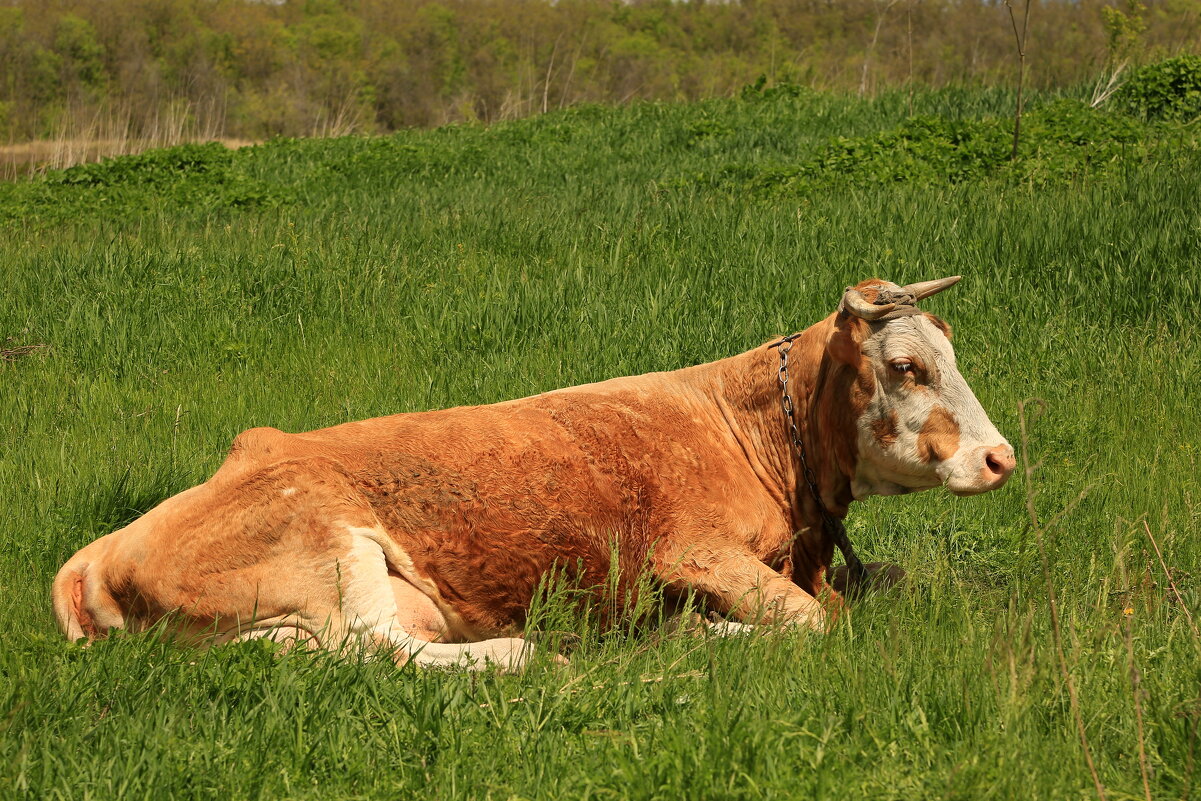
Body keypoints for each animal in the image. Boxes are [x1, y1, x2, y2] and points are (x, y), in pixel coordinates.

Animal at [54, 276, 1013, 672]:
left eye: (951, 356)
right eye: (908, 368)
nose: (1001, 455)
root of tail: (100, 548)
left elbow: (881, 583)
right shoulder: (693, 553)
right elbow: (816, 621)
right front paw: (695, 632)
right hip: (327, 541)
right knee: (381, 648)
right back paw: (526, 650)